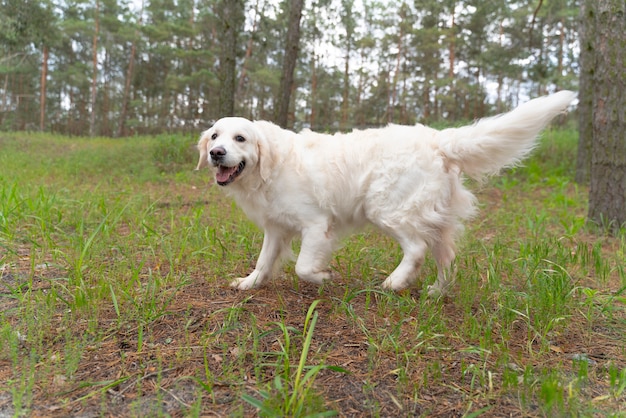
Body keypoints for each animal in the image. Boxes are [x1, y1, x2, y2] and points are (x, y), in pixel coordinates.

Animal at [197, 91, 572, 296]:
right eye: (215, 135)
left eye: (240, 138)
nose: (216, 153)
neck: (271, 166)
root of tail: (438, 139)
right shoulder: (275, 229)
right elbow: (263, 262)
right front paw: (248, 284)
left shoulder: (316, 225)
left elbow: (303, 266)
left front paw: (322, 277)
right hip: (433, 218)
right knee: (446, 256)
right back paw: (436, 291)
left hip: (388, 209)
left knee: (417, 249)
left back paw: (395, 282)